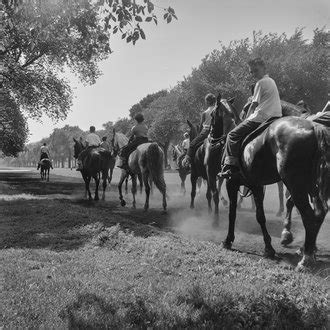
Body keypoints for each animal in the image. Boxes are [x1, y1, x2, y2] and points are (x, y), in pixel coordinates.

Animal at [219, 98, 330, 270]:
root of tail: (315, 128)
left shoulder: (232, 182)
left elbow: (233, 213)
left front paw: (228, 240)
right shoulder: (256, 185)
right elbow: (260, 216)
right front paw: (269, 248)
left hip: (296, 184)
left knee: (308, 215)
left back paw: (306, 259)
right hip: (312, 186)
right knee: (319, 212)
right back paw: (308, 250)